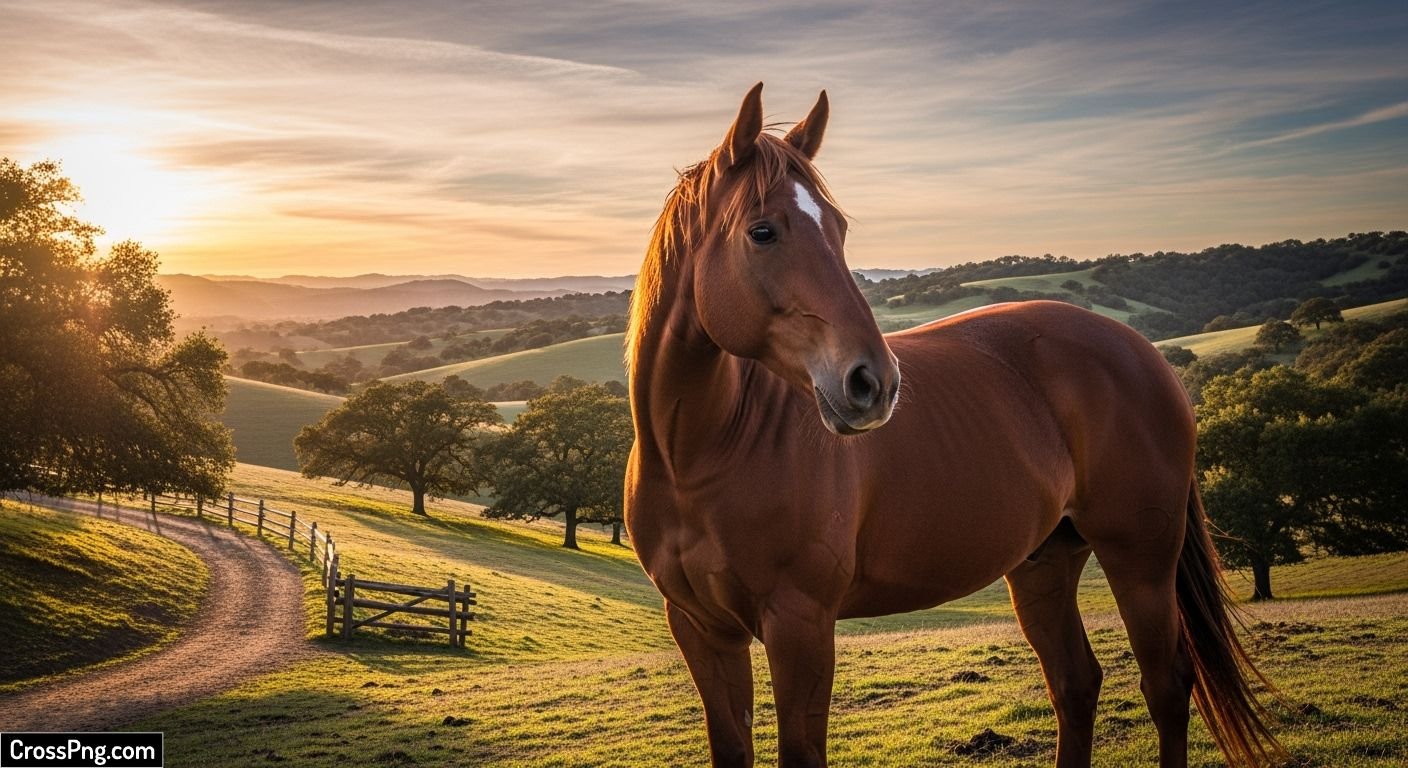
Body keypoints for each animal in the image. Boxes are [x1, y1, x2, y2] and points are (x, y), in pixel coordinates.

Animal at [623, 82, 1282, 768]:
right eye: (762, 232)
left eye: (839, 228)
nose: (874, 383)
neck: (700, 456)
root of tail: (1143, 351)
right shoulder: (701, 630)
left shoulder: (800, 624)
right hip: (1045, 562)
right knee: (1075, 683)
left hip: (1141, 561)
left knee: (1166, 685)